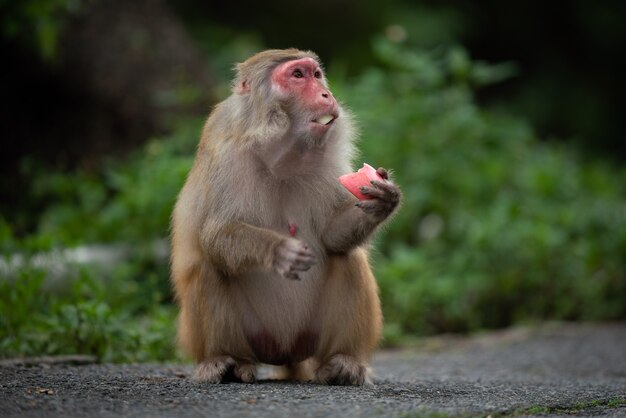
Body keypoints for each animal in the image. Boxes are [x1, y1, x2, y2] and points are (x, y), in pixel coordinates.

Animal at [169, 48, 400, 386]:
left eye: (316, 75)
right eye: (297, 75)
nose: (326, 94)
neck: (279, 154)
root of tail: (286, 353)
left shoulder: (329, 161)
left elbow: (331, 236)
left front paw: (383, 202)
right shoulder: (226, 156)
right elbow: (214, 235)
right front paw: (278, 250)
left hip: (310, 335)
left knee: (348, 258)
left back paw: (342, 362)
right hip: (253, 335)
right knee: (209, 268)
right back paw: (225, 361)